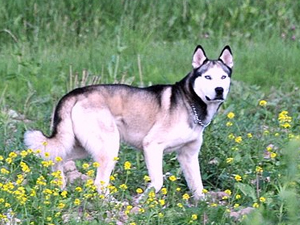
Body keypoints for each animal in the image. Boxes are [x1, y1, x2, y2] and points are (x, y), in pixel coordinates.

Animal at [24, 44, 233, 200]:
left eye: (224, 76)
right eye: (207, 77)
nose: (219, 90)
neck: (190, 102)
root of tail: (76, 93)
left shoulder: (188, 155)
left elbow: (197, 186)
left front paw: (204, 207)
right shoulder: (152, 146)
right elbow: (158, 182)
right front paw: (143, 202)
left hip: (79, 145)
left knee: (57, 159)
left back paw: (59, 187)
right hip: (109, 147)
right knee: (99, 183)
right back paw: (113, 205)